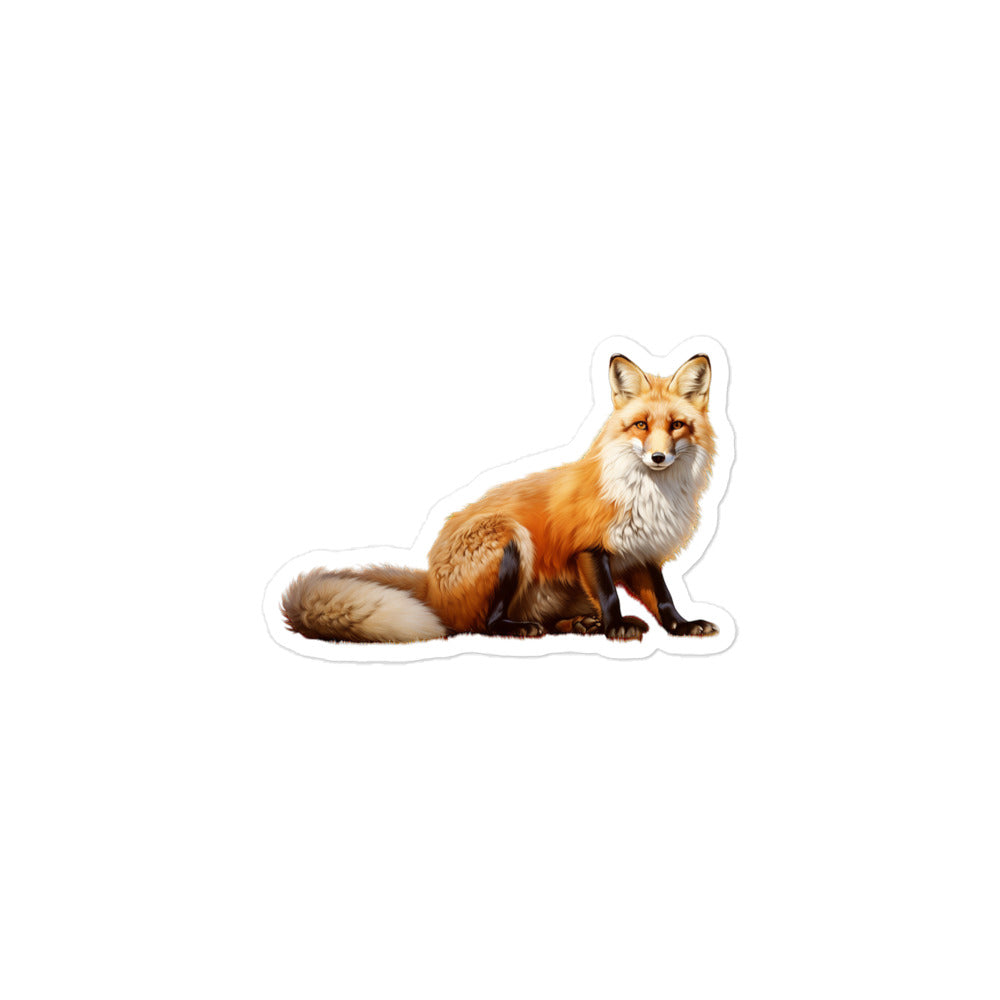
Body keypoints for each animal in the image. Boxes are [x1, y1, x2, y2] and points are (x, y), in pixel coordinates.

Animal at [281, 352, 720, 644]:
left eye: (677, 425)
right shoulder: (589, 548)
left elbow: (663, 599)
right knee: (481, 625)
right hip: (508, 537)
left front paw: (683, 626)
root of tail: (430, 583)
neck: (649, 498)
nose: (658, 457)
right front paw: (616, 626)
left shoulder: (644, 553)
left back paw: (578, 625)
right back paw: (526, 629)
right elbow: (611, 595)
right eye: (641, 425)